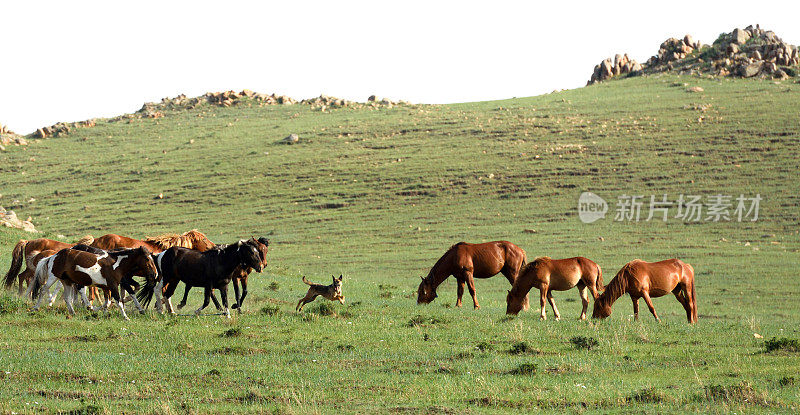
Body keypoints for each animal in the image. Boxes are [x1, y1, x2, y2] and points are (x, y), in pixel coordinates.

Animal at [30, 247, 158, 322]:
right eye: (147, 259)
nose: (155, 274)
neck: (115, 264)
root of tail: (54, 255)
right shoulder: (113, 285)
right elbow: (118, 301)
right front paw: (126, 317)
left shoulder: (106, 287)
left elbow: (108, 302)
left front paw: (101, 312)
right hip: (54, 277)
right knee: (43, 290)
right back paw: (35, 308)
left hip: (67, 281)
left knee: (67, 298)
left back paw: (73, 312)